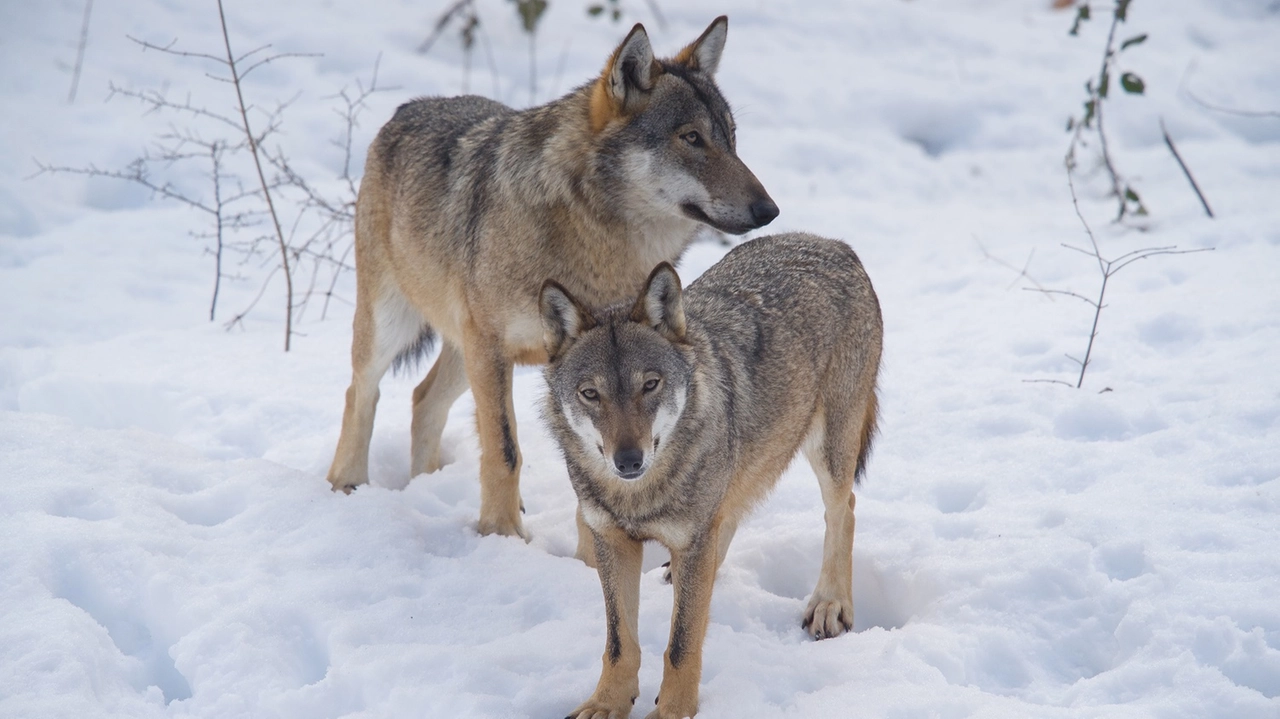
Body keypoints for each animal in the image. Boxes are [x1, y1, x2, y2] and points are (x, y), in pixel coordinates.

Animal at [325, 15, 773, 537]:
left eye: (731, 137)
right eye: (691, 138)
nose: (769, 210)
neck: (595, 241)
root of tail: (408, 107)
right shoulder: (492, 349)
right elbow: (504, 451)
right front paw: (502, 536)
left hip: (461, 353)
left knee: (422, 399)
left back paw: (428, 487)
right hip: (396, 328)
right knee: (361, 391)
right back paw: (348, 485)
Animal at [537, 230, 880, 716]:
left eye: (651, 385)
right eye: (590, 394)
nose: (628, 461)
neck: (640, 497)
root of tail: (831, 242)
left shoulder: (691, 537)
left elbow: (681, 644)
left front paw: (672, 711)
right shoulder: (612, 540)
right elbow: (620, 643)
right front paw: (606, 703)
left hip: (827, 450)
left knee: (843, 509)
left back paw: (830, 604)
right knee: (729, 521)